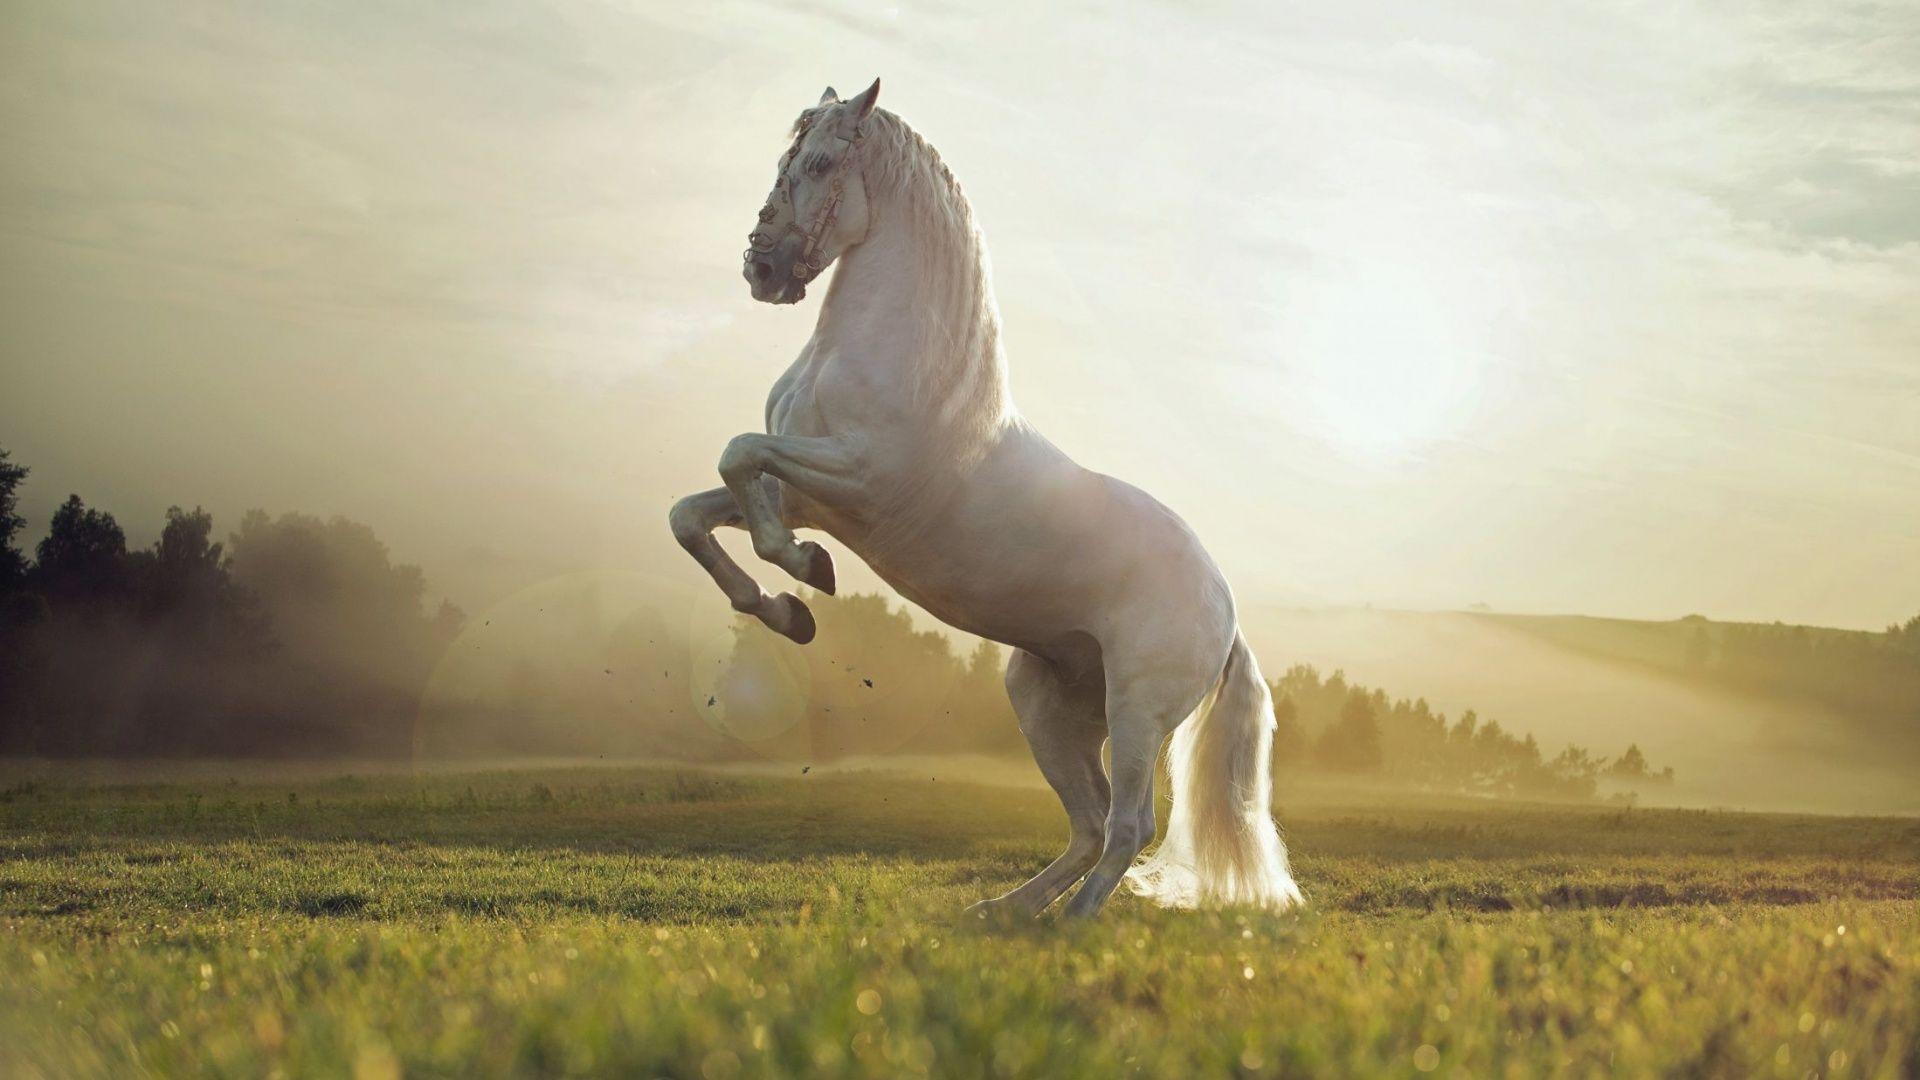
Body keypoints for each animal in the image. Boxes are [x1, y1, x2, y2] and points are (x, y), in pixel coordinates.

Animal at [669, 79, 1302, 918]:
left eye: (822, 162)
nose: (762, 268)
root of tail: (1224, 610)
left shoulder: (855, 479)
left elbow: (740, 457)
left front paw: (805, 574)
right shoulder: (804, 493)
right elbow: (695, 512)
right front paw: (785, 609)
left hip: (1137, 712)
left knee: (1129, 825)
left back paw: (1070, 925)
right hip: (1046, 704)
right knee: (1090, 824)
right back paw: (1002, 913)